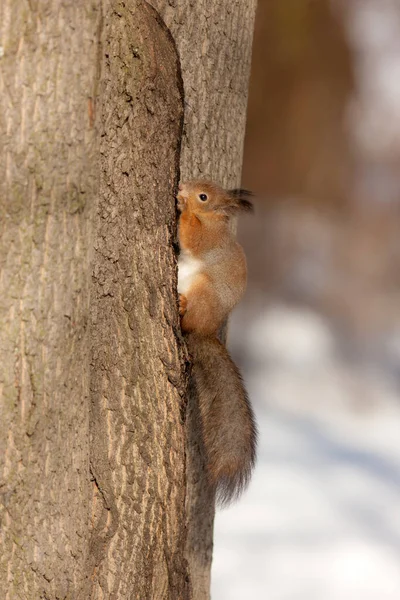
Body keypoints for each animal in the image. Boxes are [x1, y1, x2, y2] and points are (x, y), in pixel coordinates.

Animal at [177, 180, 258, 504]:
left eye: (204, 196)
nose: (185, 186)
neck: (214, 220)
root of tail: (205, 332)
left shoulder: (209, 240)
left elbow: (193, 236)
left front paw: (183, 205)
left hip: (203, 292)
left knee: (188, 321)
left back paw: (181, 306)